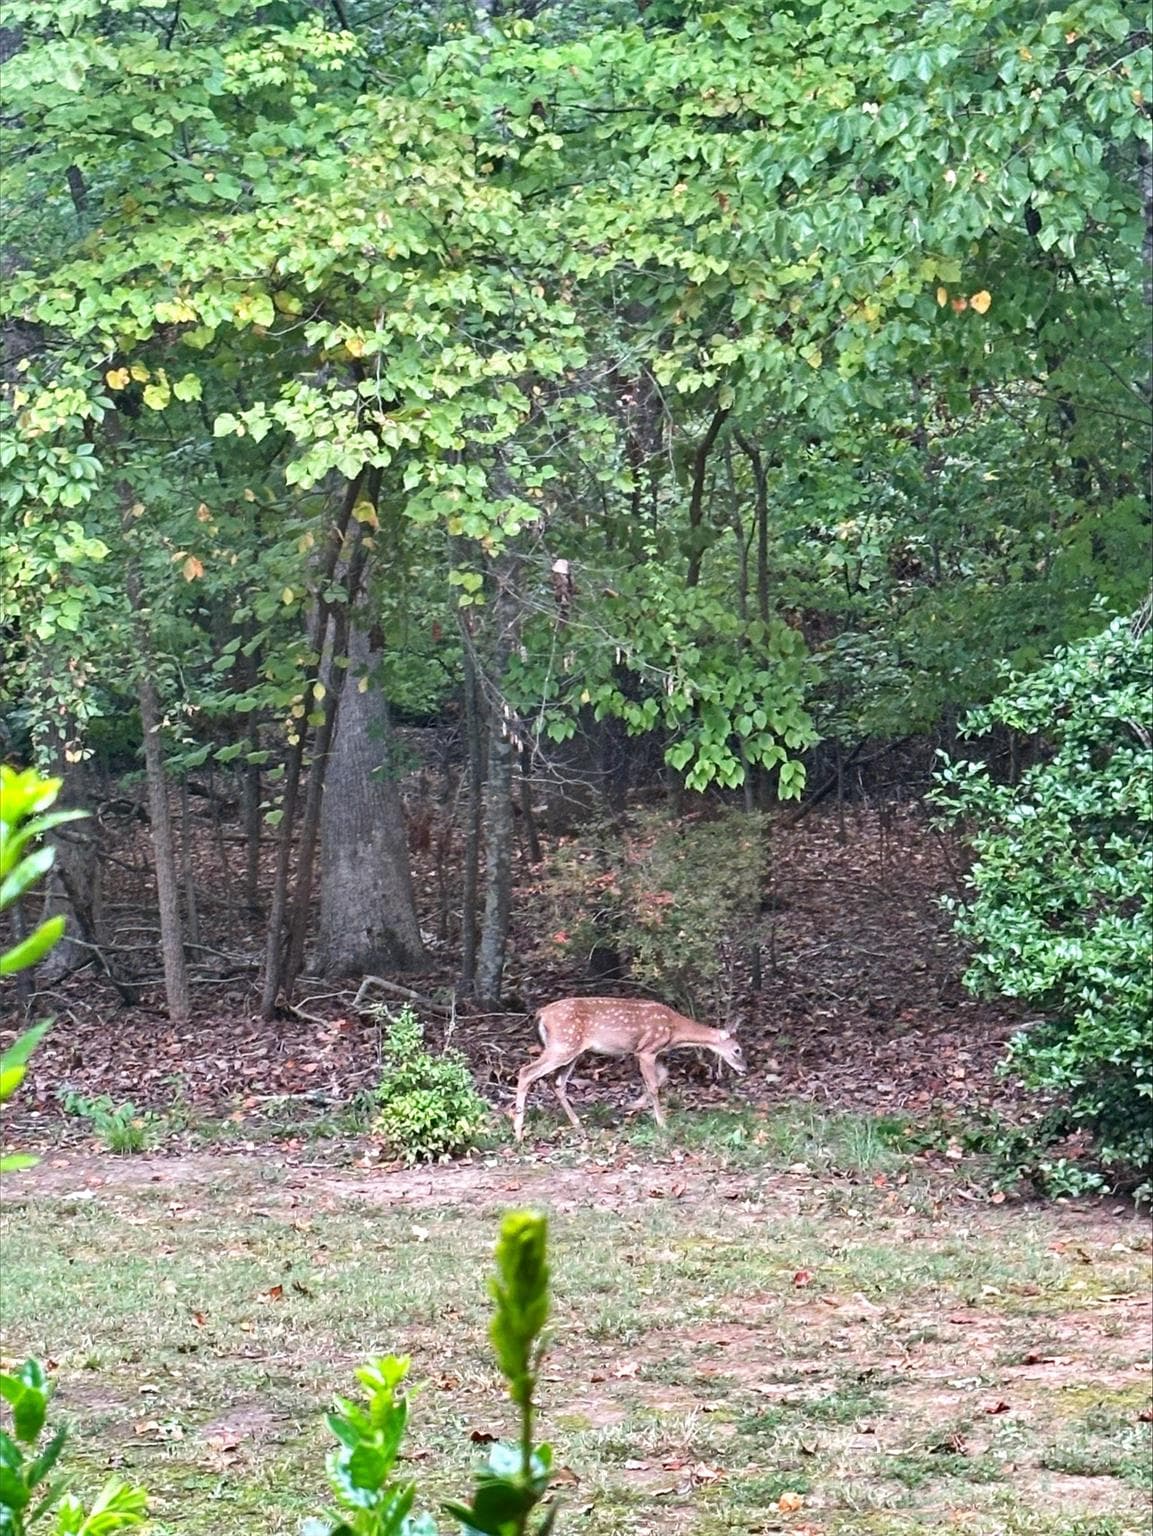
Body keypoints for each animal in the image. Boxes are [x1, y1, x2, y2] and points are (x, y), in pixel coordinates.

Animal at [512, 997, 746, 1141]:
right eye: (737, 1050)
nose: (745, 1069)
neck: (674, 1031)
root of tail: (541, 1013)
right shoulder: (646, 1050)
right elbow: (653, 1085)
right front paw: (662, 1123)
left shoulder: (651, 1052)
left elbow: (663, 1075)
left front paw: (632, 1105)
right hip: (563, 1044)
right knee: (526, 1072)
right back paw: (518, 1132)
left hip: (572, 1050)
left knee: (557, 1082)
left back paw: (578, 1125)